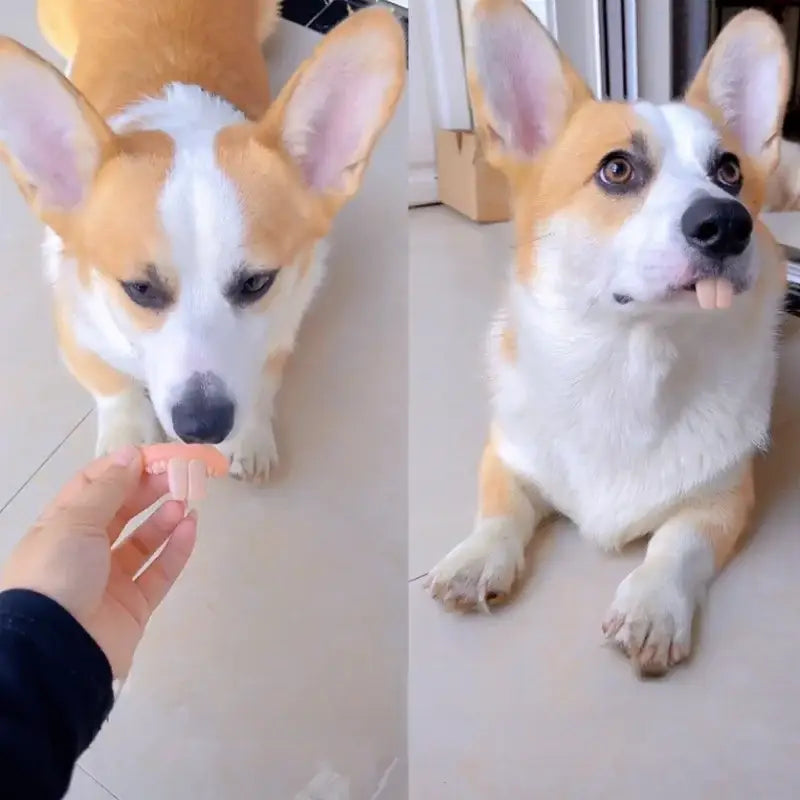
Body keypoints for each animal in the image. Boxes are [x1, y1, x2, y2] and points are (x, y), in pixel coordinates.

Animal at [0, 0, 404, 478]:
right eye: (140, 289)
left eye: (256, 283)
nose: (202, 426)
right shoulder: (77, 328)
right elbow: (111, 383)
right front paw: (127, 436)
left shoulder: (282, 326)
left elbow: (262, 379)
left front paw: (248, 436)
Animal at [424, 0, 788, 680]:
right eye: (617, 169)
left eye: (728, 171)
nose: (729, 224)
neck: (631, 358)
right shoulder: (506, 455)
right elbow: (500, 511)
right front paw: (477, 557)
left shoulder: (724, 499)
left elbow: (675, 544)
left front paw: (651, 606)